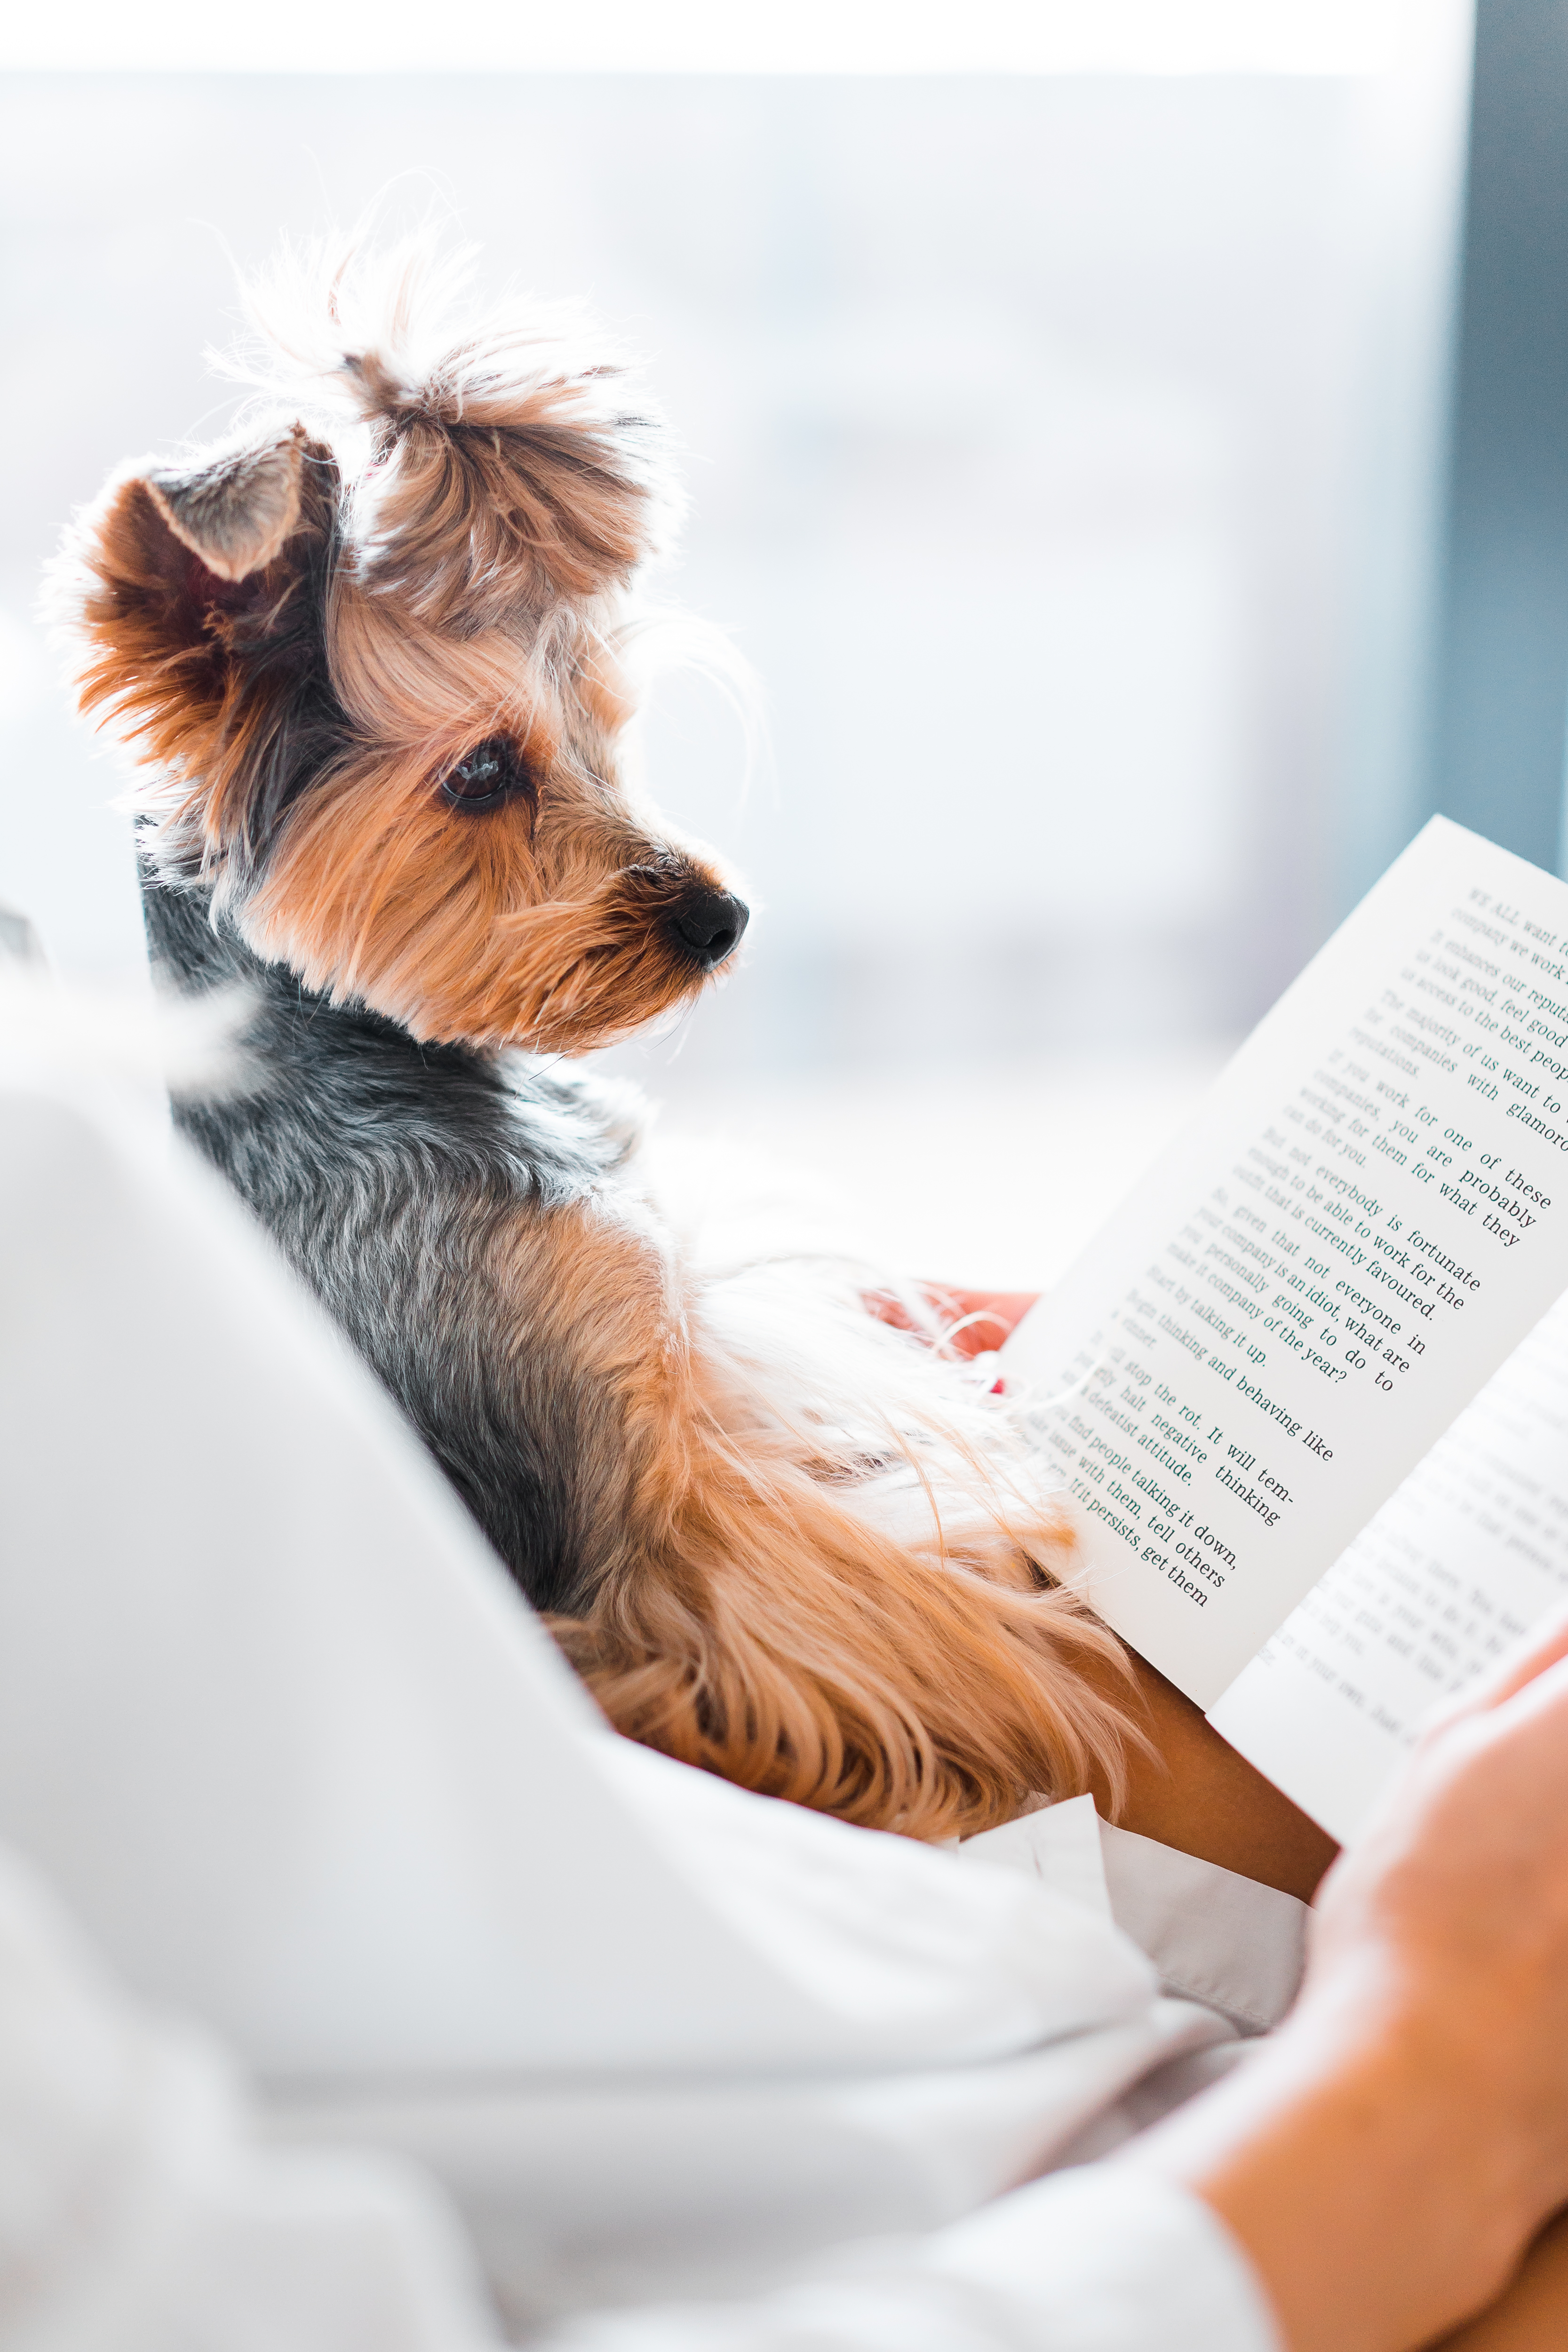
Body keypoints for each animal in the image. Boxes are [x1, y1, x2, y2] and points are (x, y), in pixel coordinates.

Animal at [49, 243, 1128, 1853]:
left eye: (607, 728)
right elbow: (928, 1618)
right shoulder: (655, 1530)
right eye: (482, 773)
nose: (723, 917)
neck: (384, 1065)